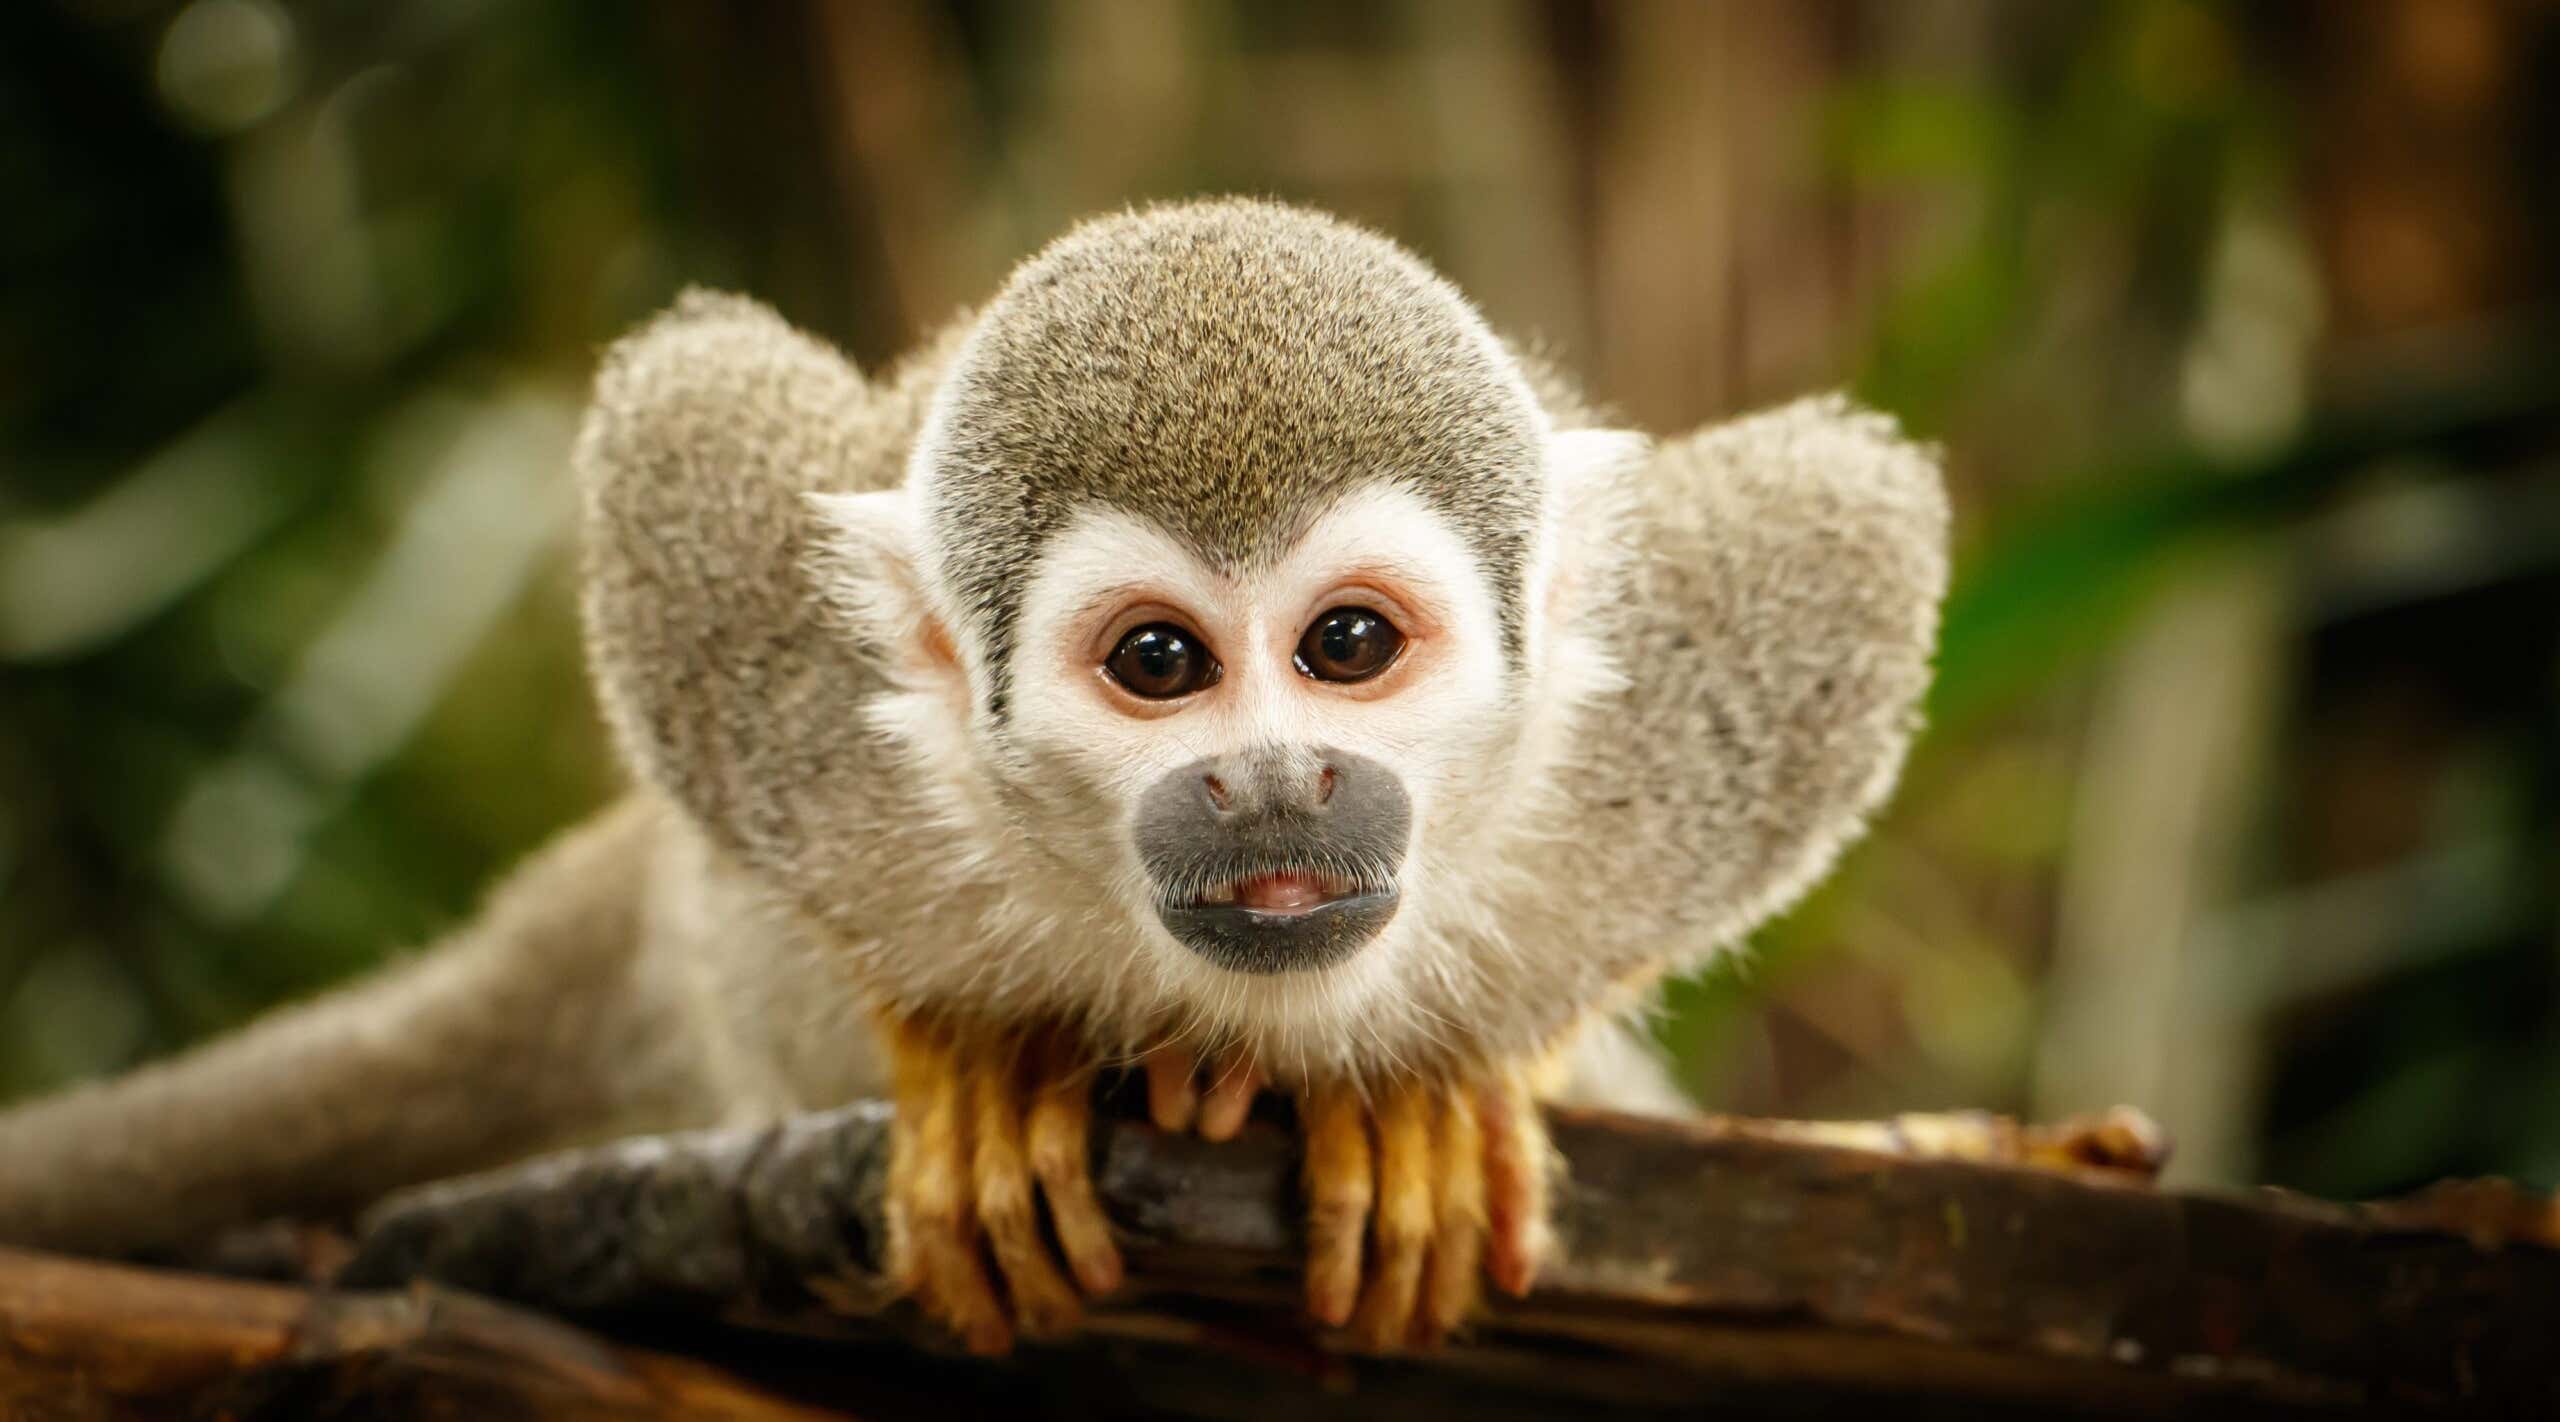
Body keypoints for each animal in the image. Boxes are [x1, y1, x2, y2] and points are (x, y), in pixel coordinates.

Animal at [0, 198, 1947, 1355]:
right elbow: (687, 416)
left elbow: (1855, 524)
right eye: (1159, 664)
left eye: (1346, 646)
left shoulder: (1676, 725)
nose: (1273, 784)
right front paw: (967, 1055)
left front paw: (1442, 1086)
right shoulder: (789, 712)